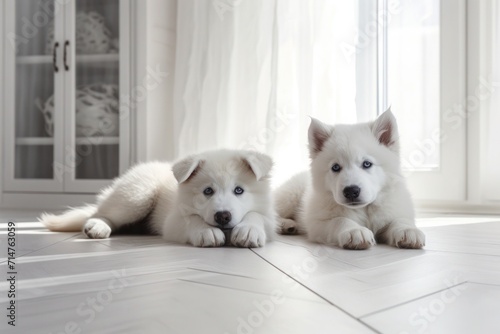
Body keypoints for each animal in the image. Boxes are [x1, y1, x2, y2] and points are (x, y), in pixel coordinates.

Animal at [40, 149, 276, 248]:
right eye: (207, 191)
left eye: (239, 190)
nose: (223, 216)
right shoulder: (173, 221)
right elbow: (192, 218)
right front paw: (206, 231)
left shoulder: (270, 218)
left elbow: (256, 215)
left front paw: (249, 230)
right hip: (138, 195)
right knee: (102, 213)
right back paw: (98, 226)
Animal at [276, 108, 424, 249]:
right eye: (335, 167)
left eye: (367, 164)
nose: (351, 191)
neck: (365, 209)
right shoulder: (317, 224)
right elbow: (339, 220)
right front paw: (355, 230)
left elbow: (399, 219)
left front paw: (408, 230)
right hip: (290, 196)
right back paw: (285, 224)